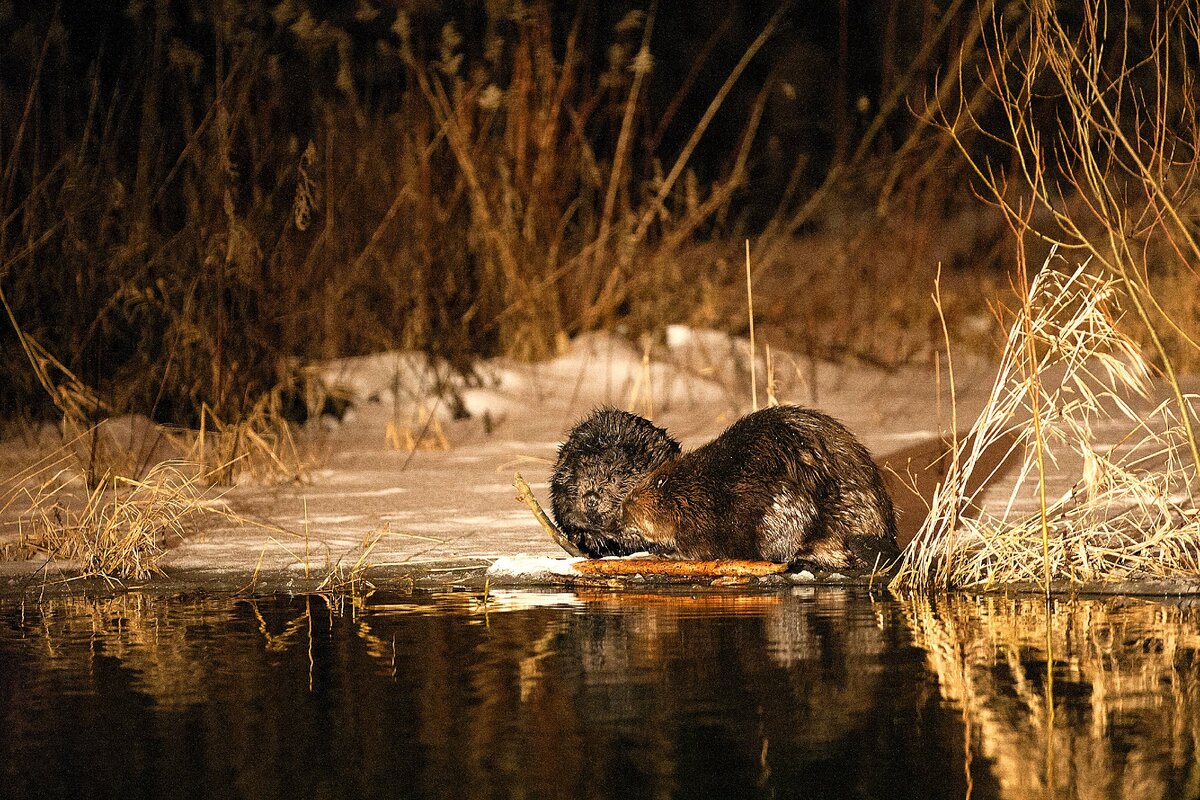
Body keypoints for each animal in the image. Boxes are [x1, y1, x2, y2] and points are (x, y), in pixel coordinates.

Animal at [624, 407, 897, 568]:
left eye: (631, 501)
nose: (617, 521)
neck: (699, 488)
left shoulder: (704, 520)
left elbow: (698, 549)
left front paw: (663, 553)